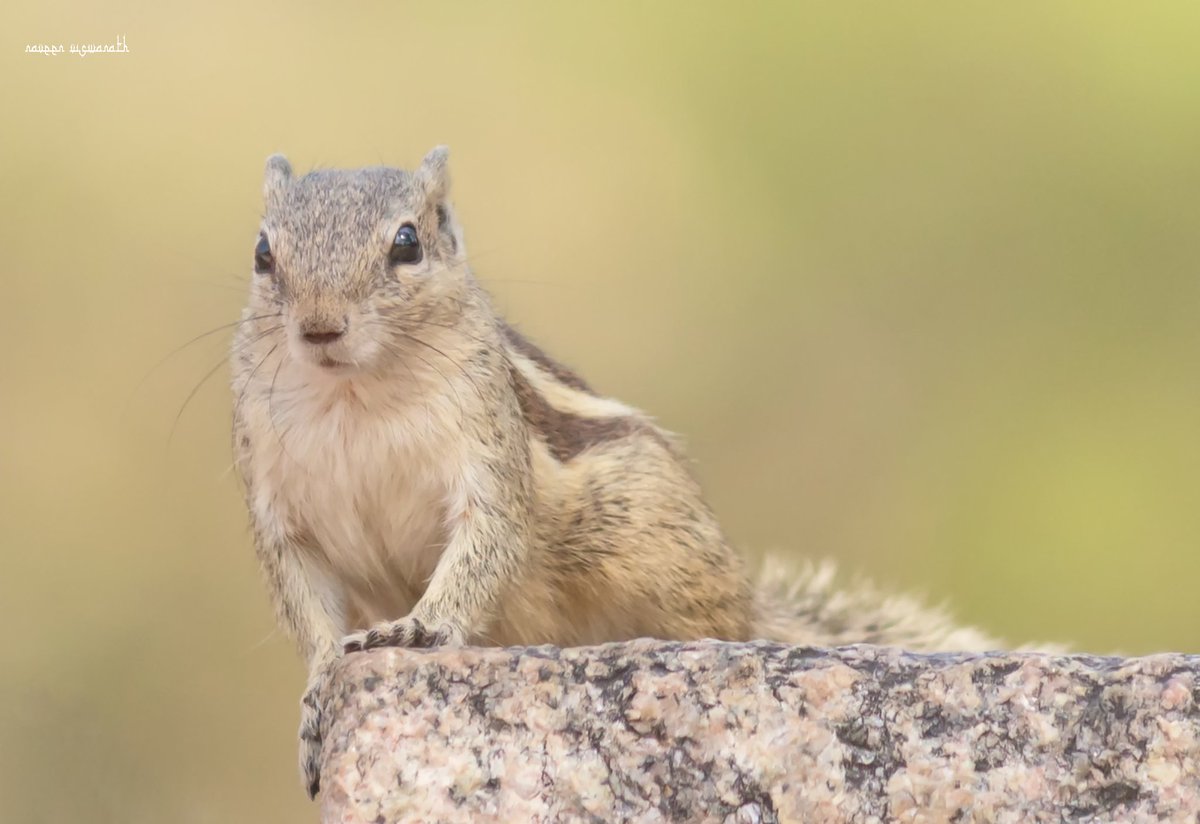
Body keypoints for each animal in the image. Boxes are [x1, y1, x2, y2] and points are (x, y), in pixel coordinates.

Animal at [229, 146, 998, 801]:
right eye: (264, 253)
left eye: (407, 243)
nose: (321, 326)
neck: (353, 393)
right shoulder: (279, 510)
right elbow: (308, 613)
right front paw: (318, 694)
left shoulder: (488, 458)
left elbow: (487, 544)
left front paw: (419, 630)